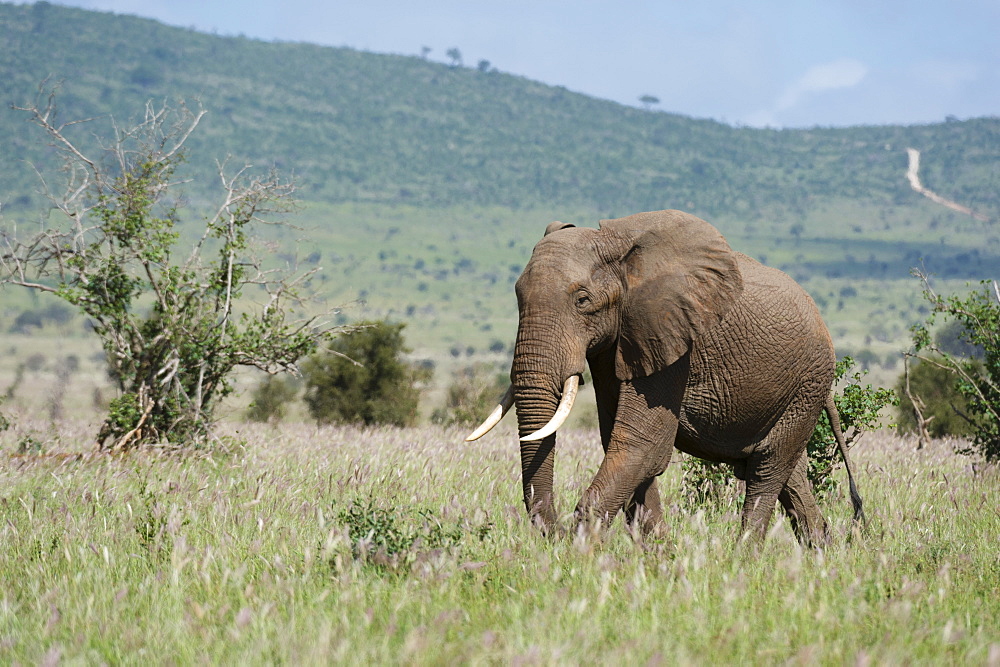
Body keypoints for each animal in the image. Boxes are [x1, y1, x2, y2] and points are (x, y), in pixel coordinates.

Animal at [468, 211, 868, 544]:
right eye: (517, 296)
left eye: (582, 300)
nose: (557, 534)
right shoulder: (618, 342)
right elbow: (621, 440)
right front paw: (659, 555)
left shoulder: (674, 341)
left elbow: (644, 443)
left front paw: (581, 554)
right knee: (790, 474)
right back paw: (820, 554)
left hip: (808, 382)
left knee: (767, 471)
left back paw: (743, 560)